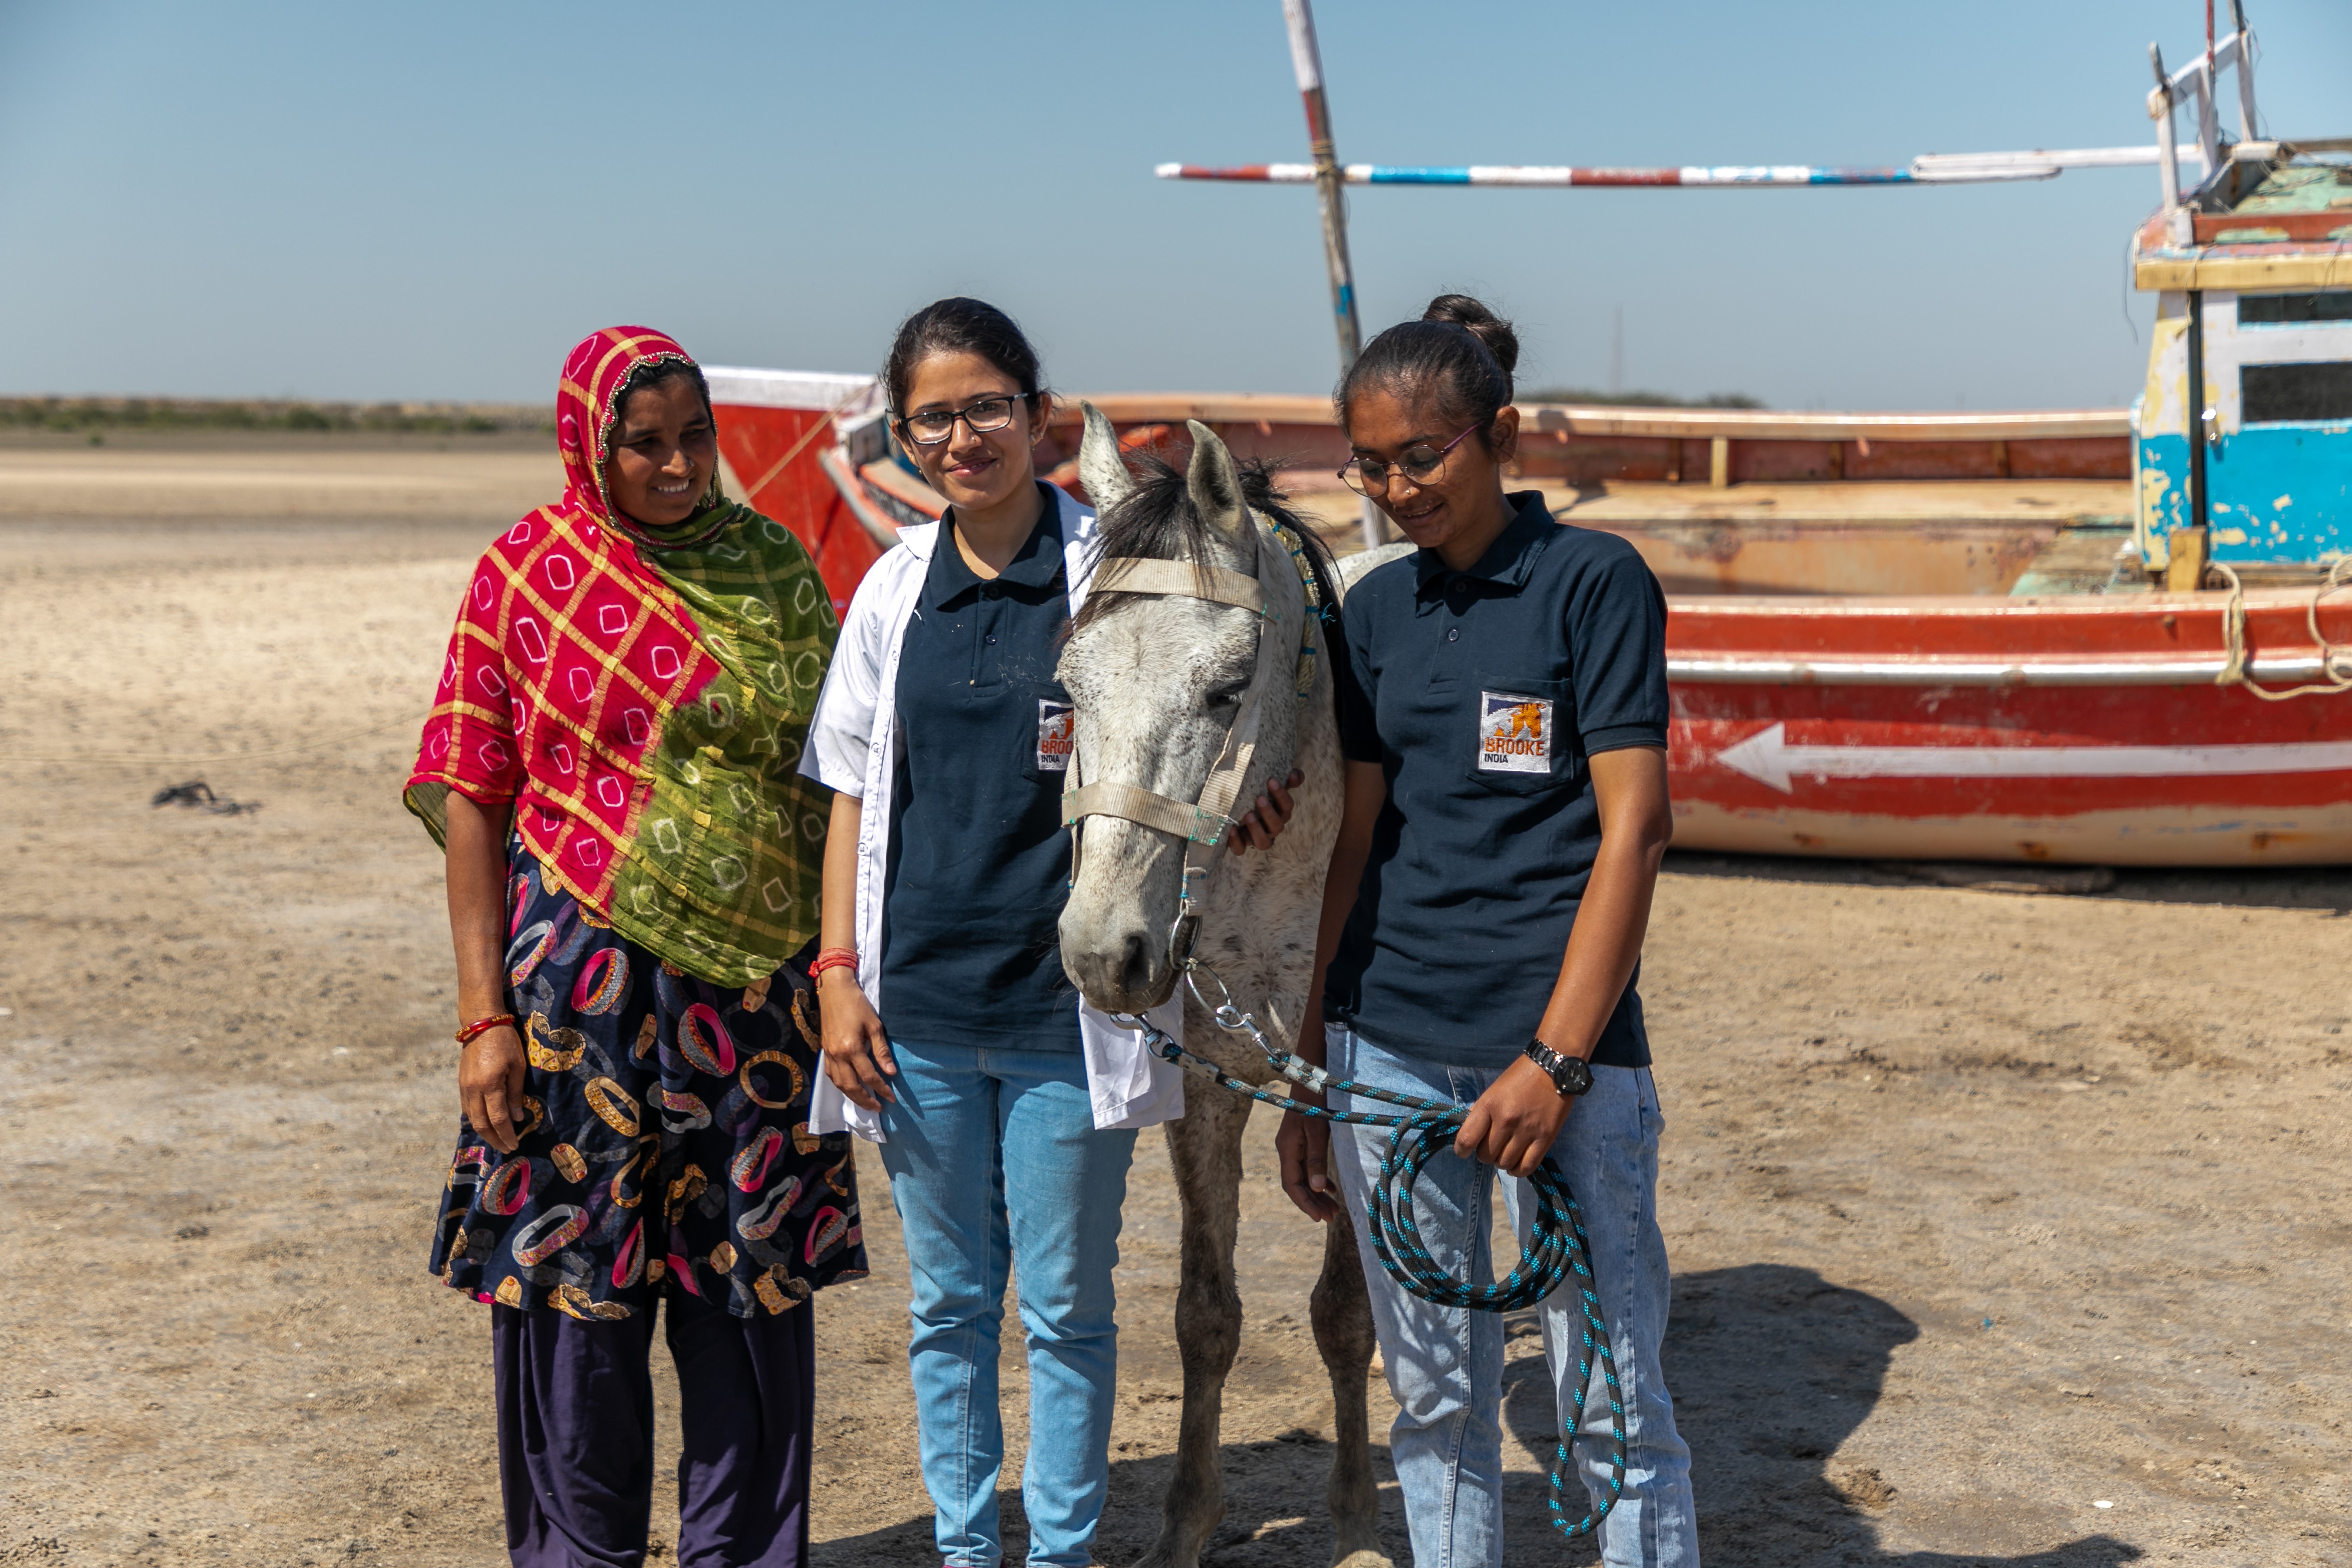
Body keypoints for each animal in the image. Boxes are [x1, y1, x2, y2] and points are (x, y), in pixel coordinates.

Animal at [1056, 406, 1390, 1568]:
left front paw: (1358, 1519)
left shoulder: (1347, 1091)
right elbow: (1206, 1315)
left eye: (1225, 689)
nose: (1102, 949)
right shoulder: (1204, 1088)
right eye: (1070, 686)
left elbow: (1345, 1312)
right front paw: (1186, 1524)